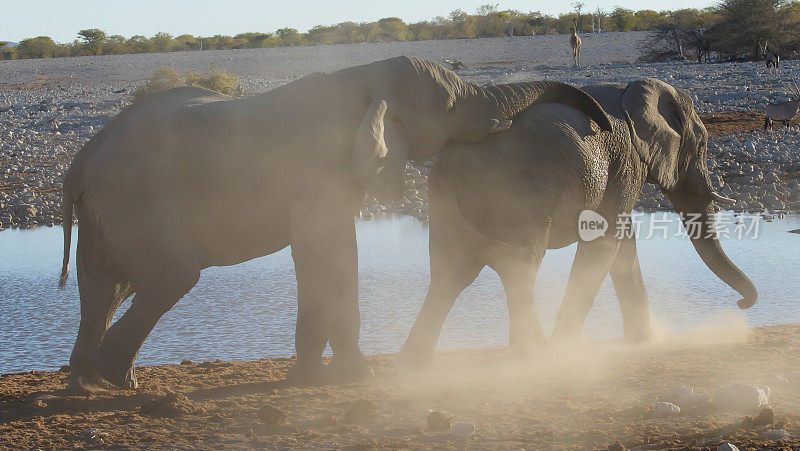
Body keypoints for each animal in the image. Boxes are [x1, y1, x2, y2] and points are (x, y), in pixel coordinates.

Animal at [61, 54, 612, 390]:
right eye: (452, 104)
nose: (601, 123)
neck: (365, 76)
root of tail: (81, 161)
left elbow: (316, 258)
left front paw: (308, 379)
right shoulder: (319, 173)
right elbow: (330, 251)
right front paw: (358, 378)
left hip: (107, 215)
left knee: (104, 287)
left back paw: (85, 383)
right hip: (139, 206)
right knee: (168, 278)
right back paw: (116, 381)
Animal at [398, 78, 756, 368]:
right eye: (703, 145)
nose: (742, 304)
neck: (634, 89)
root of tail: (448, 165)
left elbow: (622, 244)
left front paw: (644, 342)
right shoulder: (627, 162)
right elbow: (605, 241)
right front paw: (567, 351)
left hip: (447, 205)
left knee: (452, 271)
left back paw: (415, 364)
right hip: (519, 191)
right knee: (521, 263)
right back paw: (538, 355)